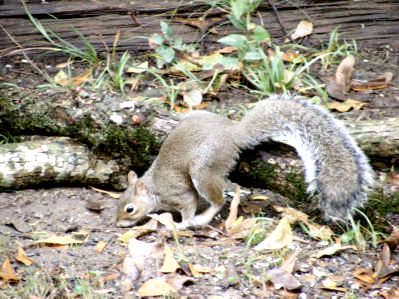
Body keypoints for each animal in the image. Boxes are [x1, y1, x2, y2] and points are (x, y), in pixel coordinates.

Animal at [115, 95, 376, 229]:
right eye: (118, 203)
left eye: (130, 209)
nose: (118, 224)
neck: (153, 188)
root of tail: (233, 132)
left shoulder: (179, 194)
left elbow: (188, 206)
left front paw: (181, 224)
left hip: (203, 168)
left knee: (218, 200)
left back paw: (203, 218)